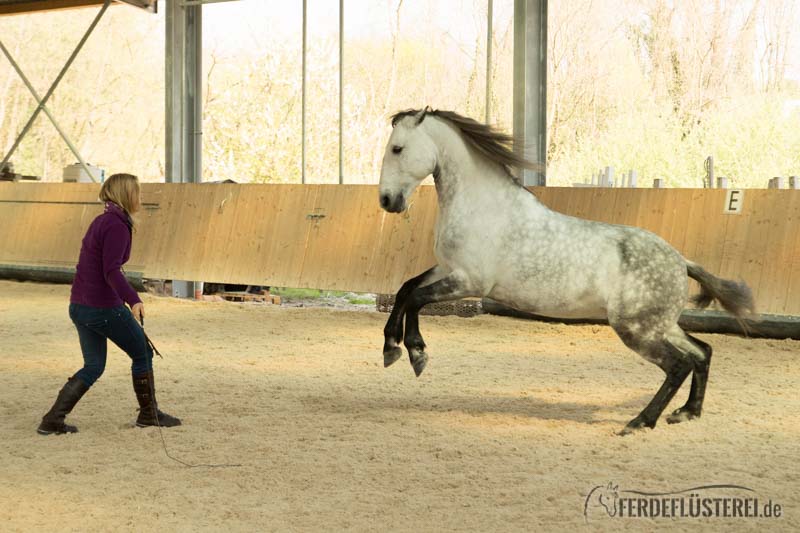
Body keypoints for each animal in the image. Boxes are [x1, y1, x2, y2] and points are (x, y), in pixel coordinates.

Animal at [378, 107, 752, 432]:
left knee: (678, 365)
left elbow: (416, 299)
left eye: (397, 148)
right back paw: (687, 412)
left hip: (637, 330)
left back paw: (640, 422)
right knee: (702, 352)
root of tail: (680, 260)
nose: (387, 200)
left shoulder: (469, 282)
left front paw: (416, 353)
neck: (484, 207)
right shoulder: (447, 269)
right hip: (659, 325)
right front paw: (390, 348)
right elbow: (406, 290)